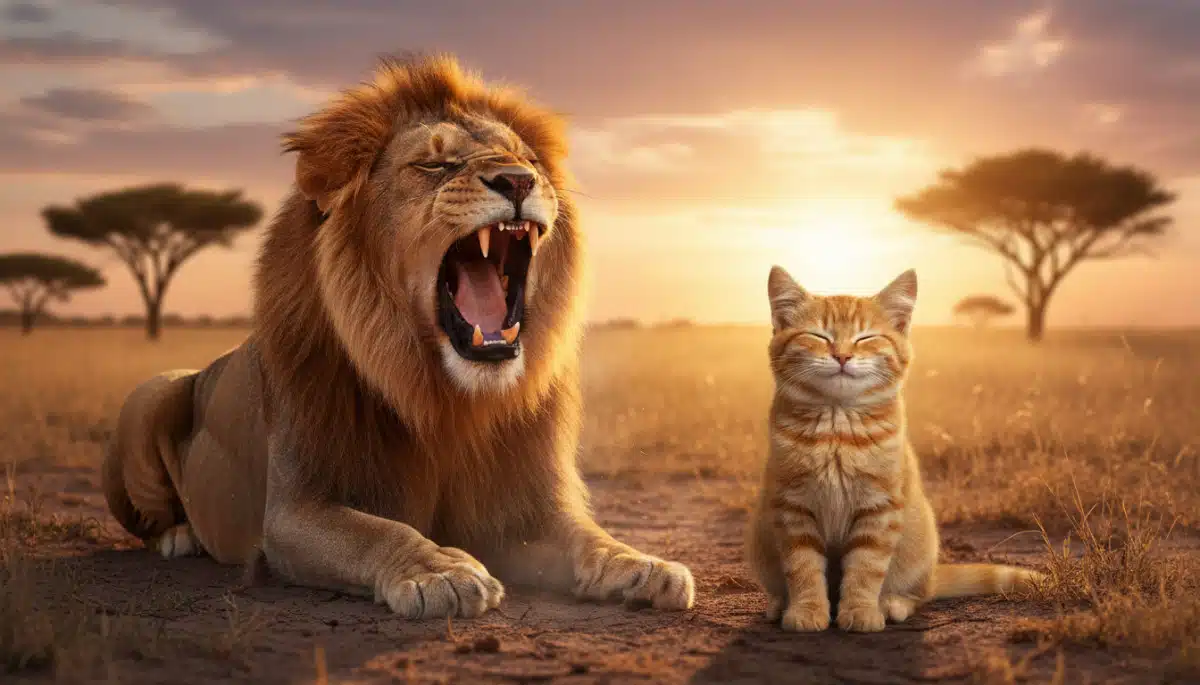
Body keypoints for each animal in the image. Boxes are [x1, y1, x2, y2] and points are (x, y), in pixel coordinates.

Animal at [101, 54, 695, 618]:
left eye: (527, 161)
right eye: (433, 164)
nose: (518, 181)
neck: (447, 397)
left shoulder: (520, 510)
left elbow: (586, 537)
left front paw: (640, 564)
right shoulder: (294, 511)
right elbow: (376, 531)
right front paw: (440, 573)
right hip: (151, 392)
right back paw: (180, 538)